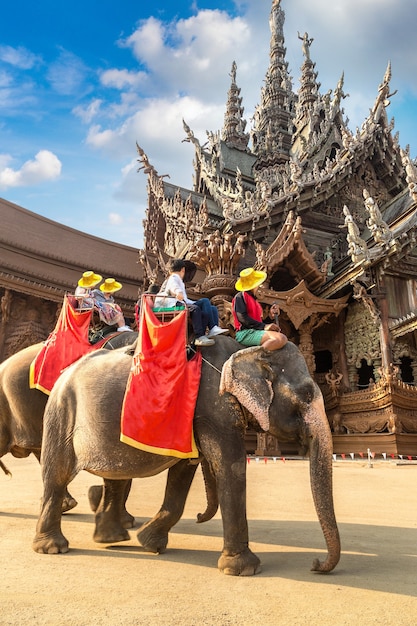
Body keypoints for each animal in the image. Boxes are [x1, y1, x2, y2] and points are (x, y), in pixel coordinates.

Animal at [31, 336, 338, 576]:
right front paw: (243, 569)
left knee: (115, 476)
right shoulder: (213, 406)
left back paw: (111, 538)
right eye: (306, 394)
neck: (246, 349)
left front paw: (149, 543)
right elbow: (231, 466)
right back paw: (53, 548)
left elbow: (183, 471)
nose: (315, 564)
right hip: (61, 410)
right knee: (57, 474)